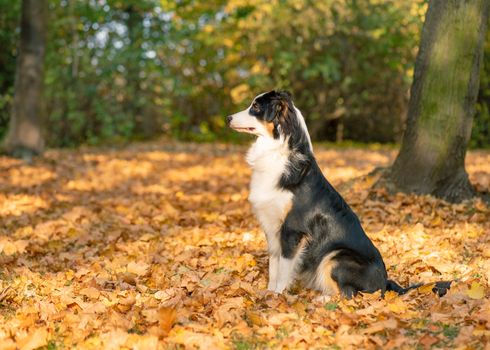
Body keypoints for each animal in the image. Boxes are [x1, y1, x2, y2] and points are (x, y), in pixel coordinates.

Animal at [227, 90, 452, 298]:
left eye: (256, 107)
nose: (228, 118)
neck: (278, 152)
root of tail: (385, 282)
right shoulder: (273, 227)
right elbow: (274, 265)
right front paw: (269, 294)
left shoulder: (292, 230)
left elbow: (284, 268)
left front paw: (278, 296)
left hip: (336, 256)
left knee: (349, 294)